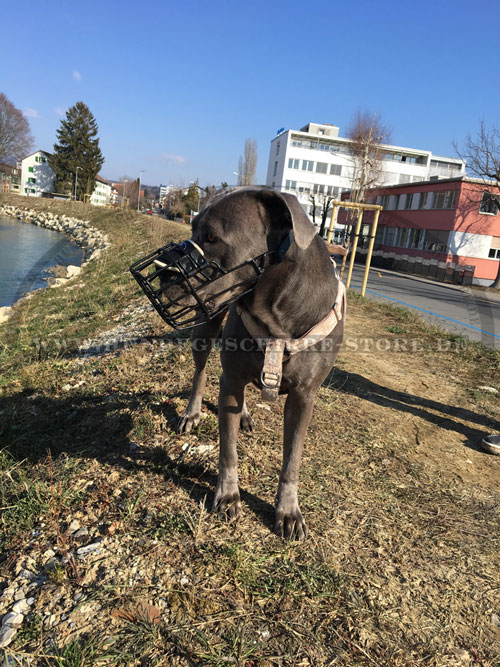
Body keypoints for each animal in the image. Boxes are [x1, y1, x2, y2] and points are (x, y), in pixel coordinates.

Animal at [166, 185, 346, 540]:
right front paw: (227, 495)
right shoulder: (232, 377)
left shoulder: (304, 397)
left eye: (211, 237)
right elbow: (228, 448)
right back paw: (192, 413)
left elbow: (292, 460)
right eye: (192, 229)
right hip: (206, 330)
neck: (277, 314)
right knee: (201, 372)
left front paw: (288, 511)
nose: (165, 274)